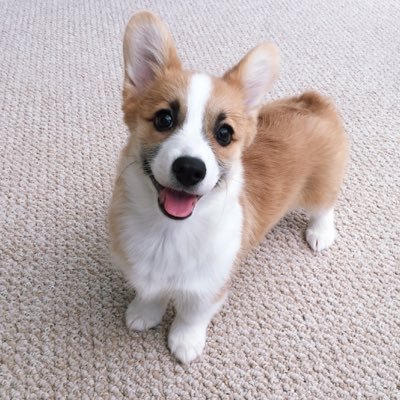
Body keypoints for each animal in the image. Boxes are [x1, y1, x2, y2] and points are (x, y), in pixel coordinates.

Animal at [108, 11, 346, 362]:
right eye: (164, 119)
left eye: (224, 133)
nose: (190, 169)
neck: (169, 232)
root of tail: (311, 103)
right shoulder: (143, 272)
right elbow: (150, 294)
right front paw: (144, 314)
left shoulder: (210, 289)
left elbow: (191, 315)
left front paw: (185, 343)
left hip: (321, 185)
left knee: (325, 207)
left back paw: (320, 233)